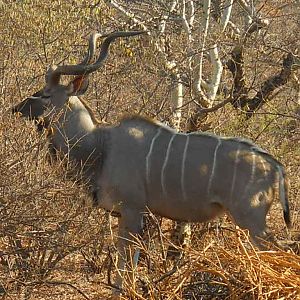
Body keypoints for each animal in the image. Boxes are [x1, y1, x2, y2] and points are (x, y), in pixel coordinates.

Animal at [12, 31, 290, 296]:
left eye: (46, 94)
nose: (16, 108)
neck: (101, 145)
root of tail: (274, 166)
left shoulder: (132, 210)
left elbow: (125, 263)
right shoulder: (128, 215)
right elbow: (128, 260)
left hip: (251, 218)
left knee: (279, 252)